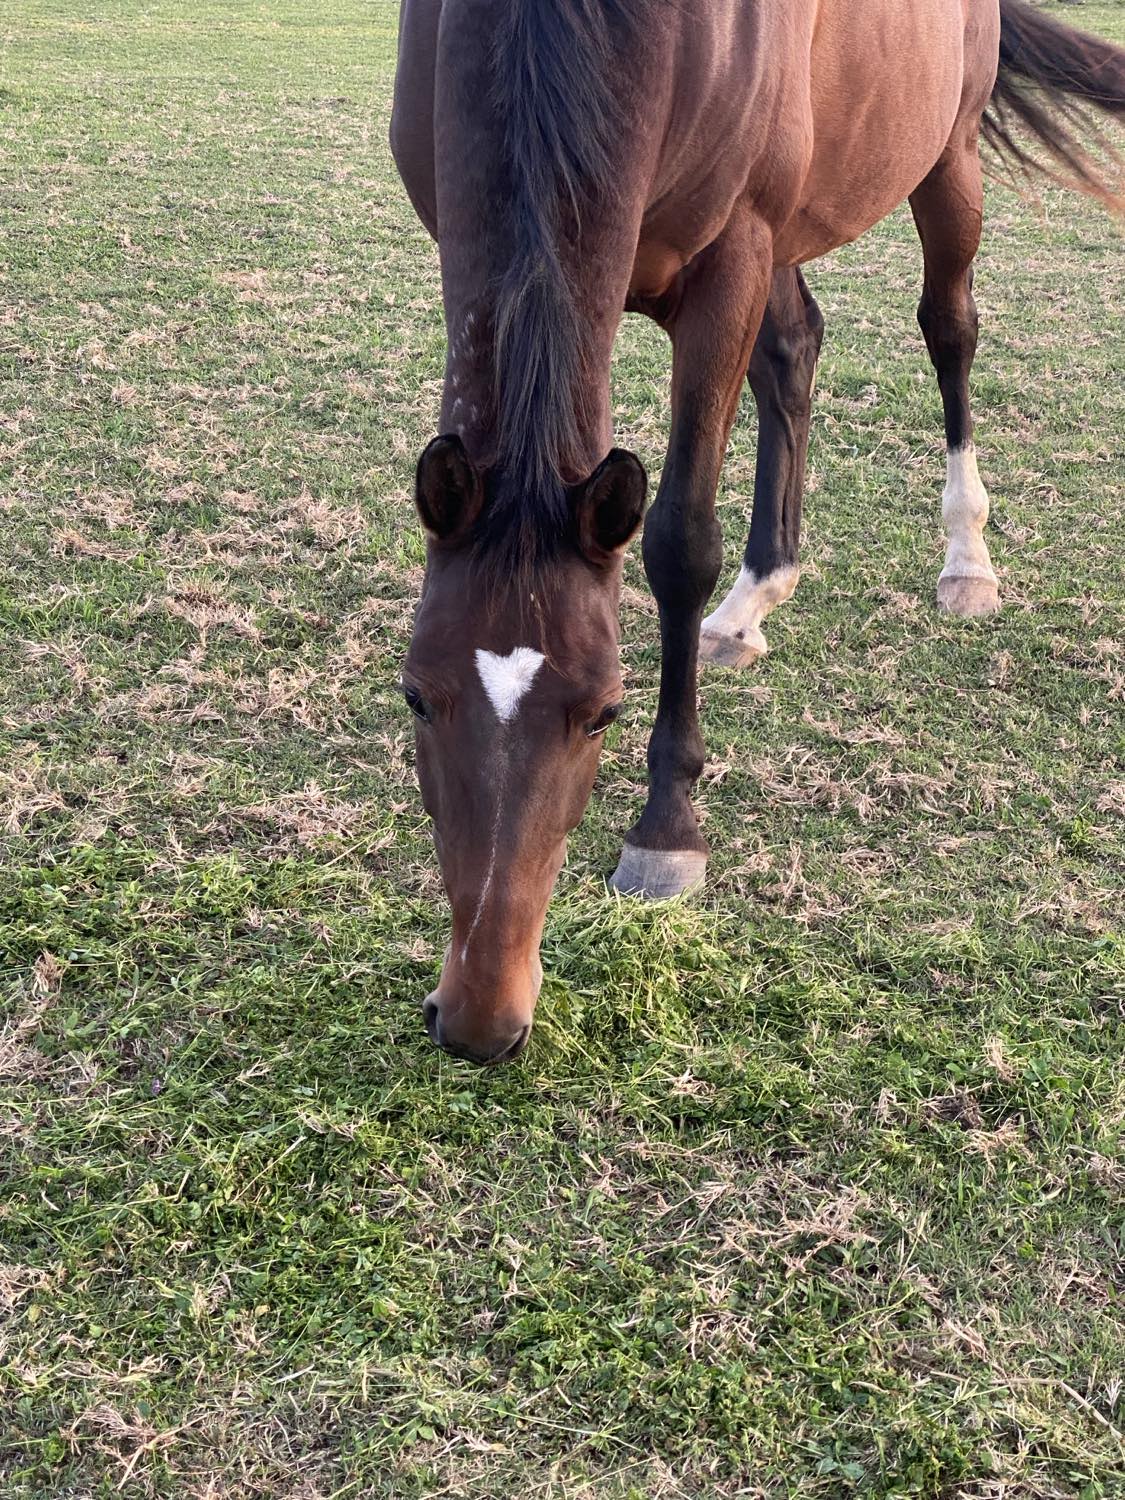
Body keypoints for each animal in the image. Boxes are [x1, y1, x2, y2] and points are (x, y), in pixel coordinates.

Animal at [390, 0, 1125, 1063]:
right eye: (414, 695)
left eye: (604, 710)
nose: (482, 1019)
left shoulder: (731, 260)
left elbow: (677, 540)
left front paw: (667, 828)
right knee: (794, 348)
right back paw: (753, 603)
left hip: (941, 163)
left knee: (948, 327)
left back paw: (966, 560)